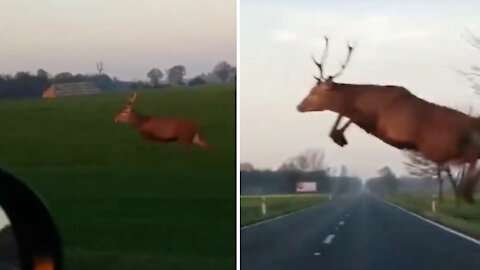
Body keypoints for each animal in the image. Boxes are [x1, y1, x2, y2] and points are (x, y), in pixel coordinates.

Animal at [296, 37, 480, 202]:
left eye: (314, 92)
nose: (299, 106)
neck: (363, 98)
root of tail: (475, 121)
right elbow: (345, 114)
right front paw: (337, 135)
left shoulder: (384, 123)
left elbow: (350, 114)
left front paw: (338, 136)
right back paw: (467, 192)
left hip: (448, 145)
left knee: (473, 157)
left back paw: (467, 192)